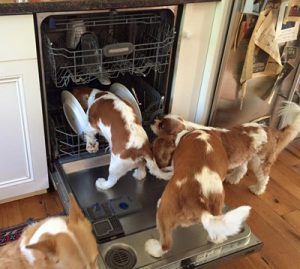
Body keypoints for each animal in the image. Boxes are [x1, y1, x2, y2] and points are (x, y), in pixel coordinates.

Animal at [151, 101, 300, 194]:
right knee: (242, 169)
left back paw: (258, 189)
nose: (154, 120)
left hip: (260, 161)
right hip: (244, 156)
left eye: (161, 125)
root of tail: (270, 129)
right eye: (160, 119)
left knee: (264, 177)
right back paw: (233, 178)